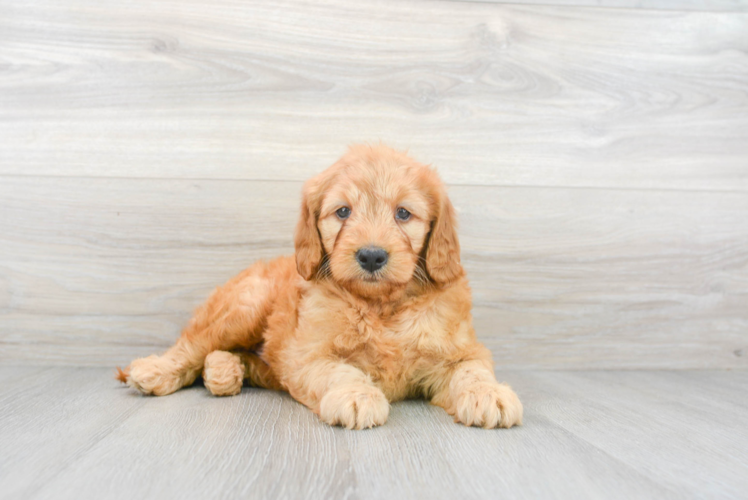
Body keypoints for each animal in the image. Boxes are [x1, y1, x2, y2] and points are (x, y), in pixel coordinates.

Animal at [120, 145, 524, 430]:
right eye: (343, 212)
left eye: (403, 214)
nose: (372, 256)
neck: (381, 307)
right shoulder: (308, 354)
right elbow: (339, 370)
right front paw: (357, 395)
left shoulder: (462, 349)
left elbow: (472, 369)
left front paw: (489, 394)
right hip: (244, 306)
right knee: (192, 345)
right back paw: (155, 371)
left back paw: (224, 371)